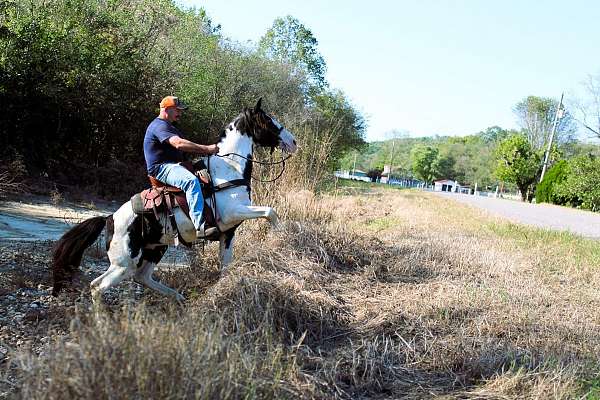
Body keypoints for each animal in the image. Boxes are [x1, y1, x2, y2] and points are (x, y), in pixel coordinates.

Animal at [52, 100, 298, 304]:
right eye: (268, 121)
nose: (293, 141)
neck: (229, 169)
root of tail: (110, 218)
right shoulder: (233, 212)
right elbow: (270, 211)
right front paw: (284, 235)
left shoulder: (228, 233)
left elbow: (225, 267)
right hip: (124, 263)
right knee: (98, 286)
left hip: (155, 249)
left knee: (142, 277)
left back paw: (178, 297)